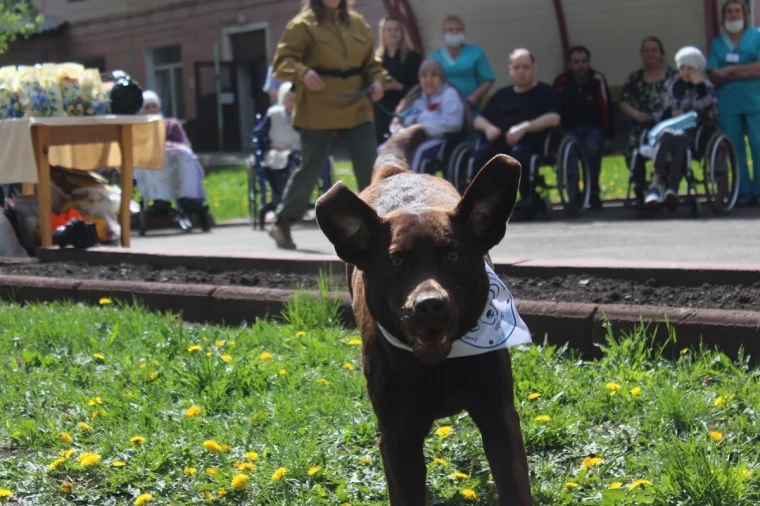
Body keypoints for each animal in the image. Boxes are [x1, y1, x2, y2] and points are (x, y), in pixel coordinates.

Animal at [312, 124, 532, 504]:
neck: (438, 366)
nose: (429, 304)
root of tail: (396, 173)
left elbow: (515, 484)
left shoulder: (498, 415)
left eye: (453, 257)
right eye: (397, 261)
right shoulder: (398, 437)